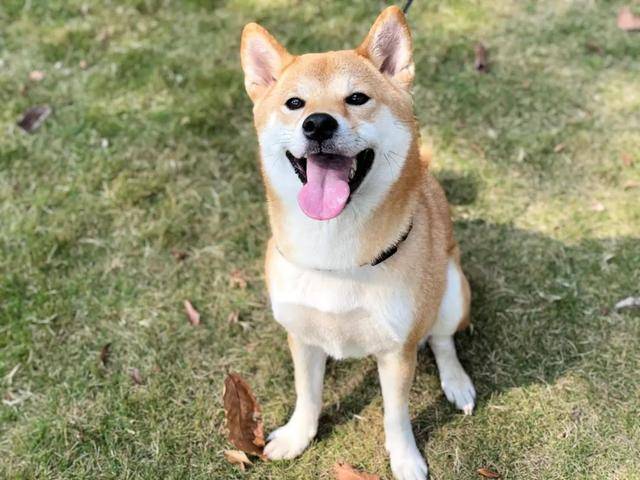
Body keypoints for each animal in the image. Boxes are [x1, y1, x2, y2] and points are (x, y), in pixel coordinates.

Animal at [240, 5, 476, 478]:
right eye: (295, 103)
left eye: (357, 98)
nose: (317, 124)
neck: (335, 253)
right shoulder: (301, 336)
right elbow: (307, 394)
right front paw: (298, 436)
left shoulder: (397, 350)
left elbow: (396, 415)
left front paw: (405, 459)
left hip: (453, 290)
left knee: (442, 339)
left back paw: (456, 381)